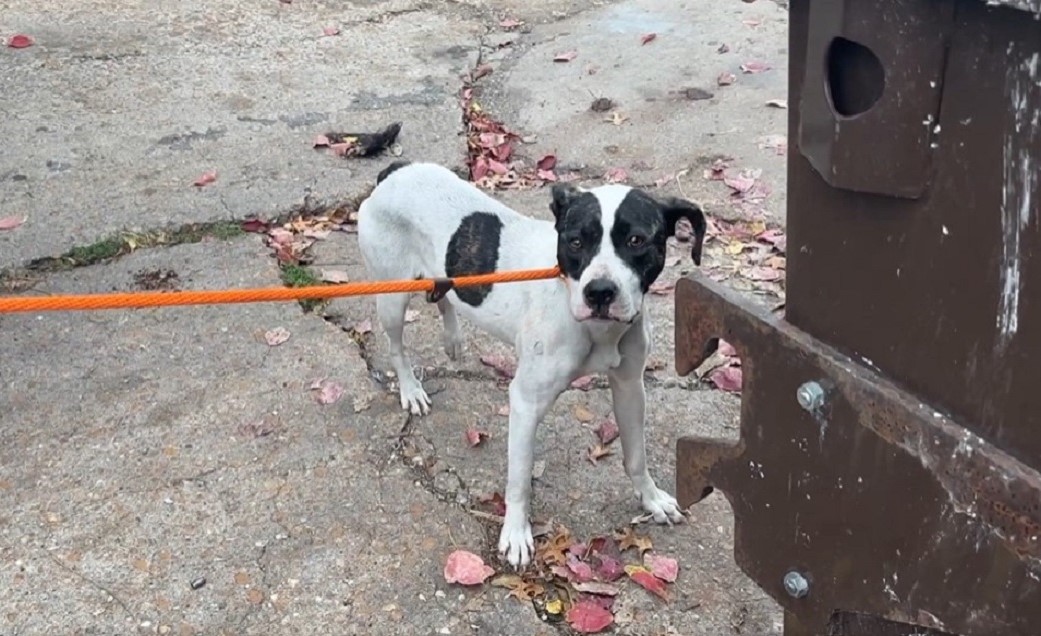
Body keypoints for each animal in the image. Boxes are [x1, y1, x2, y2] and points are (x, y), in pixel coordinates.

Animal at [358, 161, 707, 570]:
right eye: (575, 241)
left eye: (636, 240)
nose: (599, 292)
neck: (592, 325)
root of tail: (396, 170)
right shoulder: (526, 402)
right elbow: (519, 479)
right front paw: (515, 535)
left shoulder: (630, 386)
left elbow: (636, 455)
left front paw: (651, 500)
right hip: (392, 297)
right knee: (397, 346)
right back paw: (411, 389)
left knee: (443, 297)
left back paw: (453, 339)